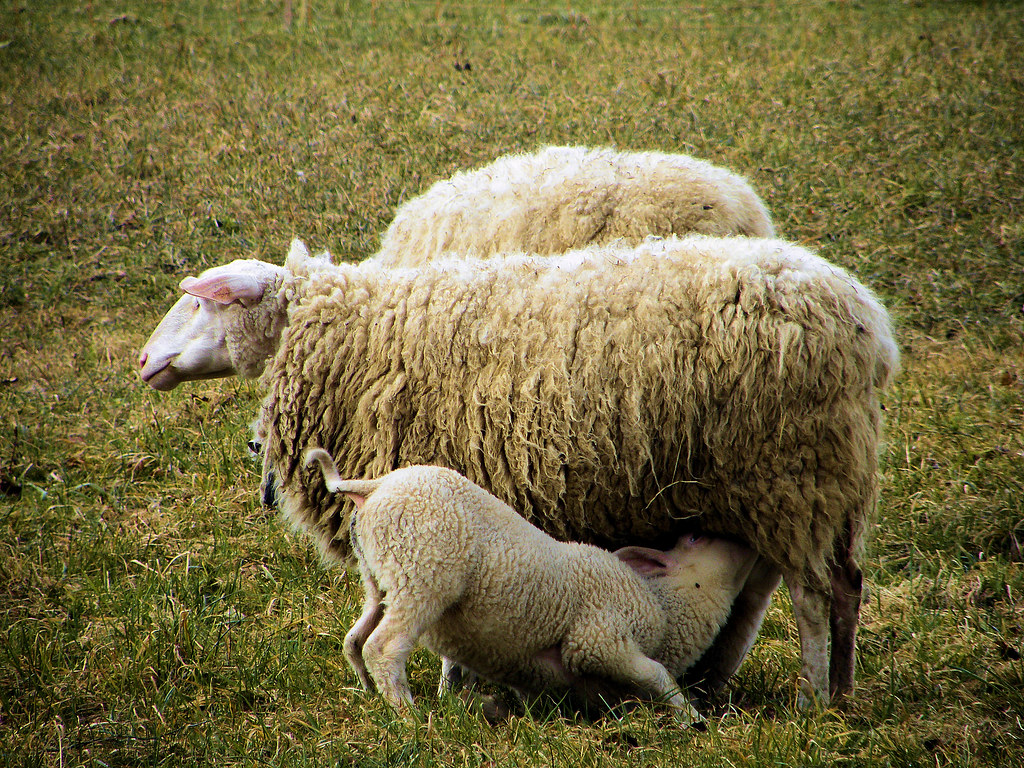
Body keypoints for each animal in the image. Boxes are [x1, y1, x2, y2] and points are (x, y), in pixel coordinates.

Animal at [303, 448, 758, 721]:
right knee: (384, 647)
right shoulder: (598, 638)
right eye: (695, 538)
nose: (749, 543)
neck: (663, 608)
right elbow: (658, 675)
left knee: (354, 639)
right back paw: (409, 714)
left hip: (382, 577)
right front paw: (693, 719)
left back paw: (370, 693)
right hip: (425, 573)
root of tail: (375, 485)